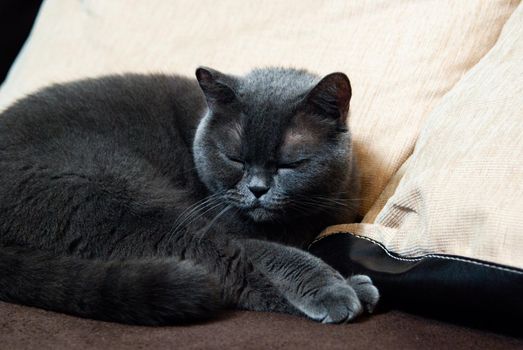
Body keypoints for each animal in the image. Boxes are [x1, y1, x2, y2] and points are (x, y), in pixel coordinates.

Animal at [0, 66, 378, 326]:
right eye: (234, 158)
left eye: (290, 164)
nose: (257, 189)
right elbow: (273, 253)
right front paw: (331, 287)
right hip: (125, 202)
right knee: (231, 269)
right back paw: (350, 291)